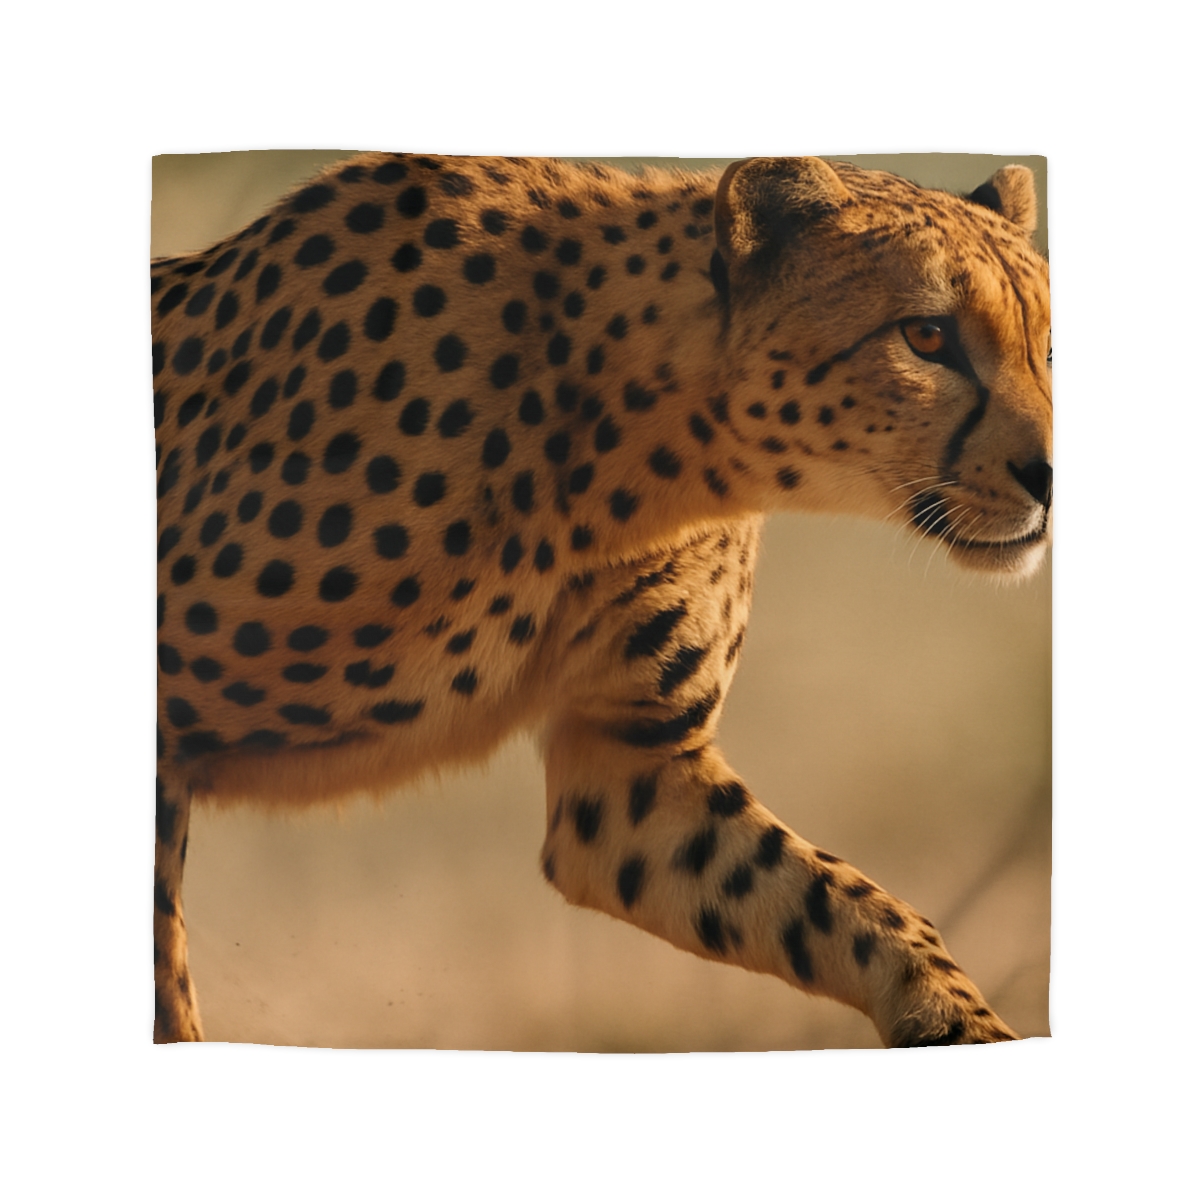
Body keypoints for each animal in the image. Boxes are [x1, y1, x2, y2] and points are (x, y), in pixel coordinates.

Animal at [152, 152, 1051, 1047]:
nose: (1049, 476)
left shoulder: (630, 769)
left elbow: (861, 910)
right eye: (926, 336)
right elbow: (164, 973)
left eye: (1048, 346)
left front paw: (959, 1024)